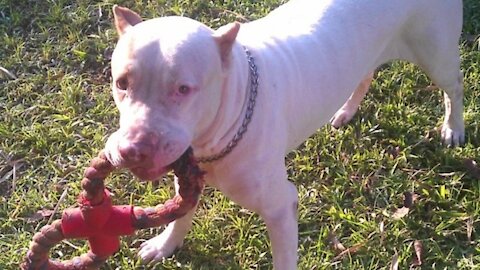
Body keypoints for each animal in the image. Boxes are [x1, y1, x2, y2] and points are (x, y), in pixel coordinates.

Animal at [105, 0, 464, 268]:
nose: (133, 149)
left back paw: (453, 128)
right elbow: (182, 214)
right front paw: (165, 244)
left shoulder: (280, 207)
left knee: (454, 87)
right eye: (121, 83)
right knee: (365, 74)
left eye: (183, 89)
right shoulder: (188, 174)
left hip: (436, 55)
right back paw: (345, 111)